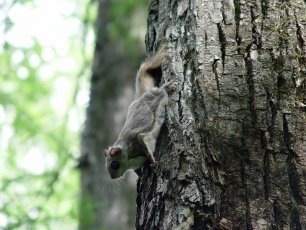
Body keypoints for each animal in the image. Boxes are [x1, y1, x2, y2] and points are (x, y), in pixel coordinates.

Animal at [104, 46, 176, 180]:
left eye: (114, 164)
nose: (112, 178)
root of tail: (141, 96)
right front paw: (140, 174)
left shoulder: (135, 140)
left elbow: (144, 145)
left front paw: (152, 159)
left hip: (155, 97)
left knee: (160, 92)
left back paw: (167, 87)